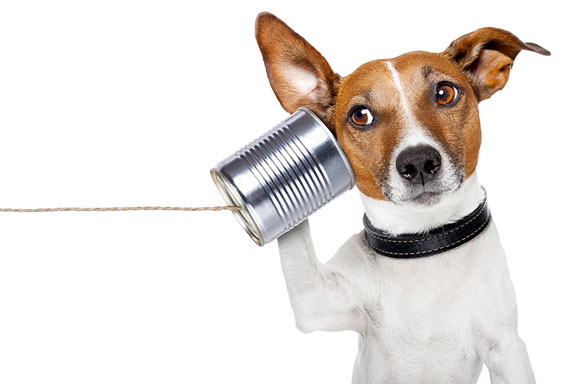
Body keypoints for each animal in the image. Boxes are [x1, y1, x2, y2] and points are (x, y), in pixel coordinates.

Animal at [255, 11, 548, 380]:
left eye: (445, 93)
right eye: (360, 115)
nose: (418, 161)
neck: (425, 243)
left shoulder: (506, 347)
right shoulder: (317, 301)